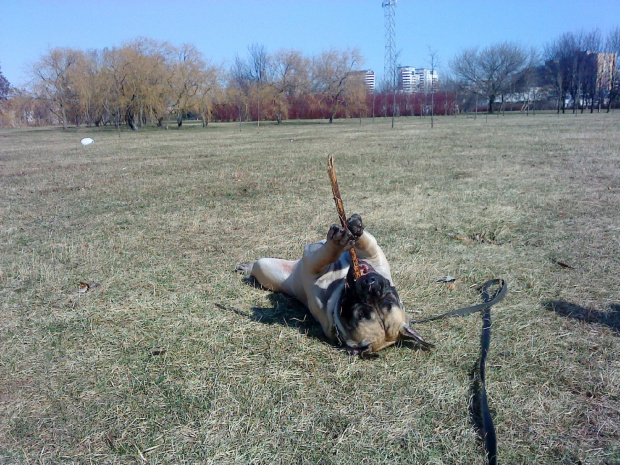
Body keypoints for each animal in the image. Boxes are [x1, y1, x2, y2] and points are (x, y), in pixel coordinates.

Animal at [234, 215, 432, 356]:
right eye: (388, 301)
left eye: (361, 314)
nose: (372, 285)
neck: (341, 284)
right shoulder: (373, 255)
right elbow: (363, 242)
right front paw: (354, 226)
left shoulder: (313, 265)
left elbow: (327, 254)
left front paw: (337, 242)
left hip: (267, 269)